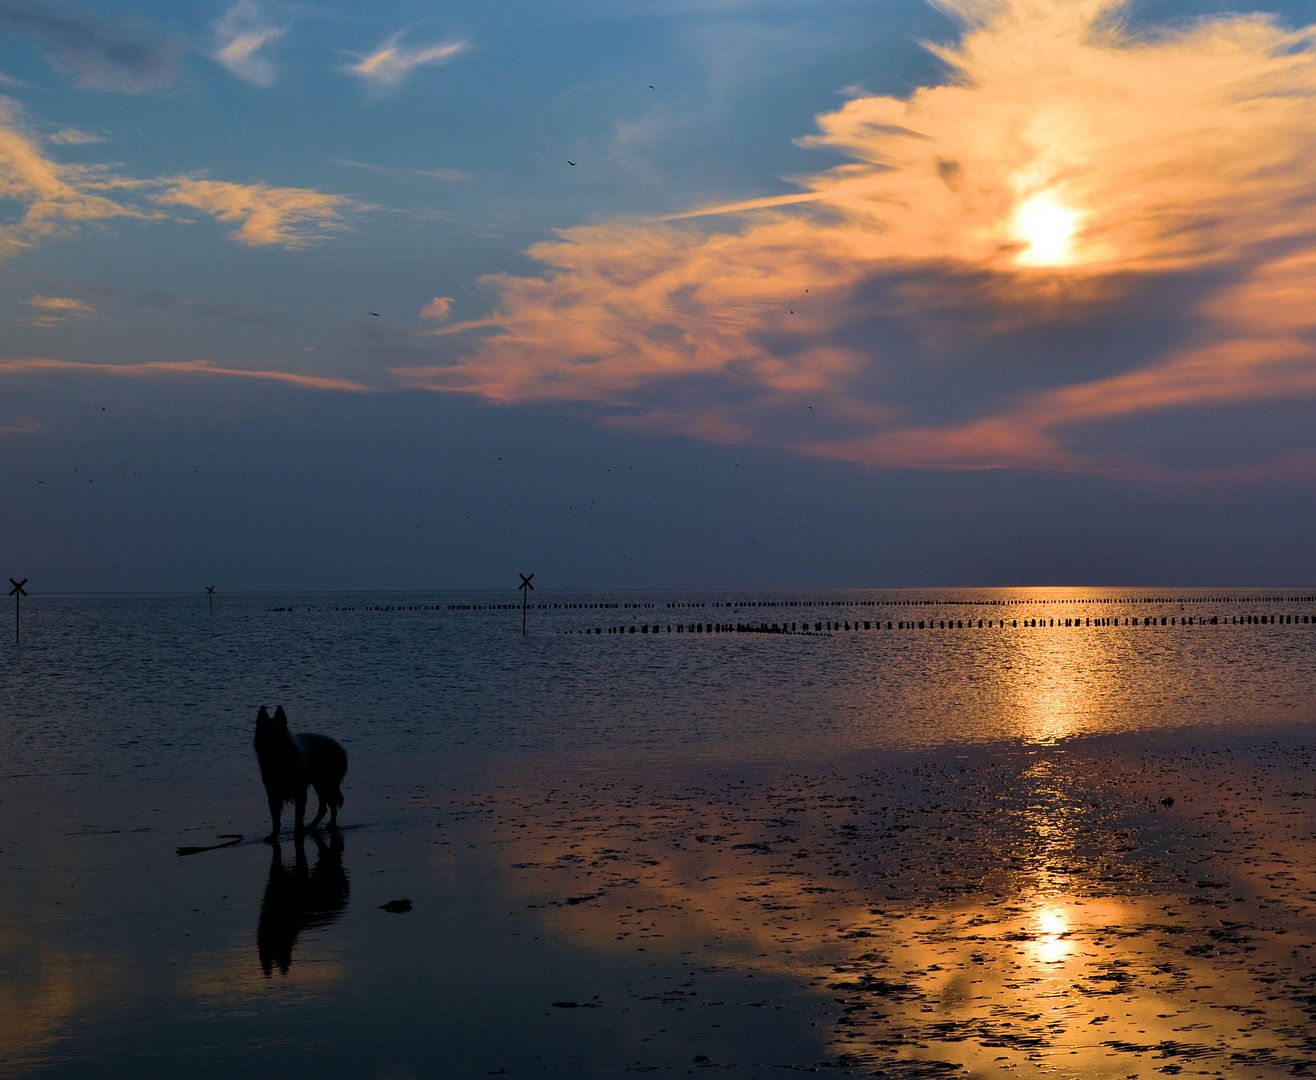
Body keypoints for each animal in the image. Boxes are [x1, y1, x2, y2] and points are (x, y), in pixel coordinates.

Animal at [252, 705, 347, 836]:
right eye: (265, 730)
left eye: (277, 731)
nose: (271, 741)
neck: (279, 759)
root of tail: (341, 748)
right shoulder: (273, 794)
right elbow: (276, 819)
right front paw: (274, 835)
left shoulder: (300, 792)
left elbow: (298, 816)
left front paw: (298, 832)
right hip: (319, 785)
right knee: (324, 807)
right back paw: (311, 827)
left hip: (326, 784)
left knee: (332, 803)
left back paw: (330, 824)